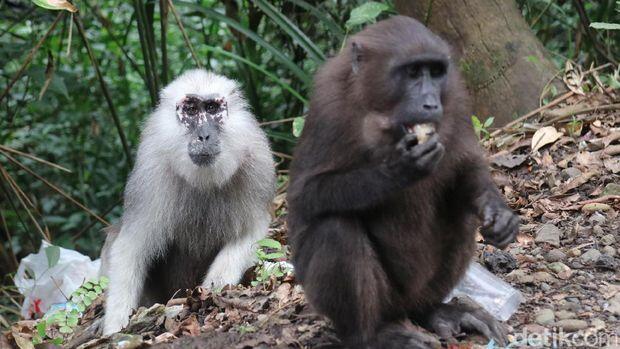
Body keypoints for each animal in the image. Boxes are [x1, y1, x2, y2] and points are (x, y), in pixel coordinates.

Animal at [100, 70, 274, 334]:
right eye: (191, 110)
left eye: (212, 108)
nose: (204, 135)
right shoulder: (151, 173)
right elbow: (130, 247)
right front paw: (114, 329)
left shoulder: (256, 164)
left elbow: (252, 233)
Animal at [288, 15, 520, 346]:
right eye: (412, 72)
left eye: (434, 72)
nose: (431, 103)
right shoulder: (327, 102)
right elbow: (304, 196)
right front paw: (399, 170)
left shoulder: (455, 93)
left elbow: (465, 167)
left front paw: (498, 214)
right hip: (383, 300)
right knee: (334, 229)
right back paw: (370, 336)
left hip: (414, 292)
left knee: (461, 215)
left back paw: (432, 310)